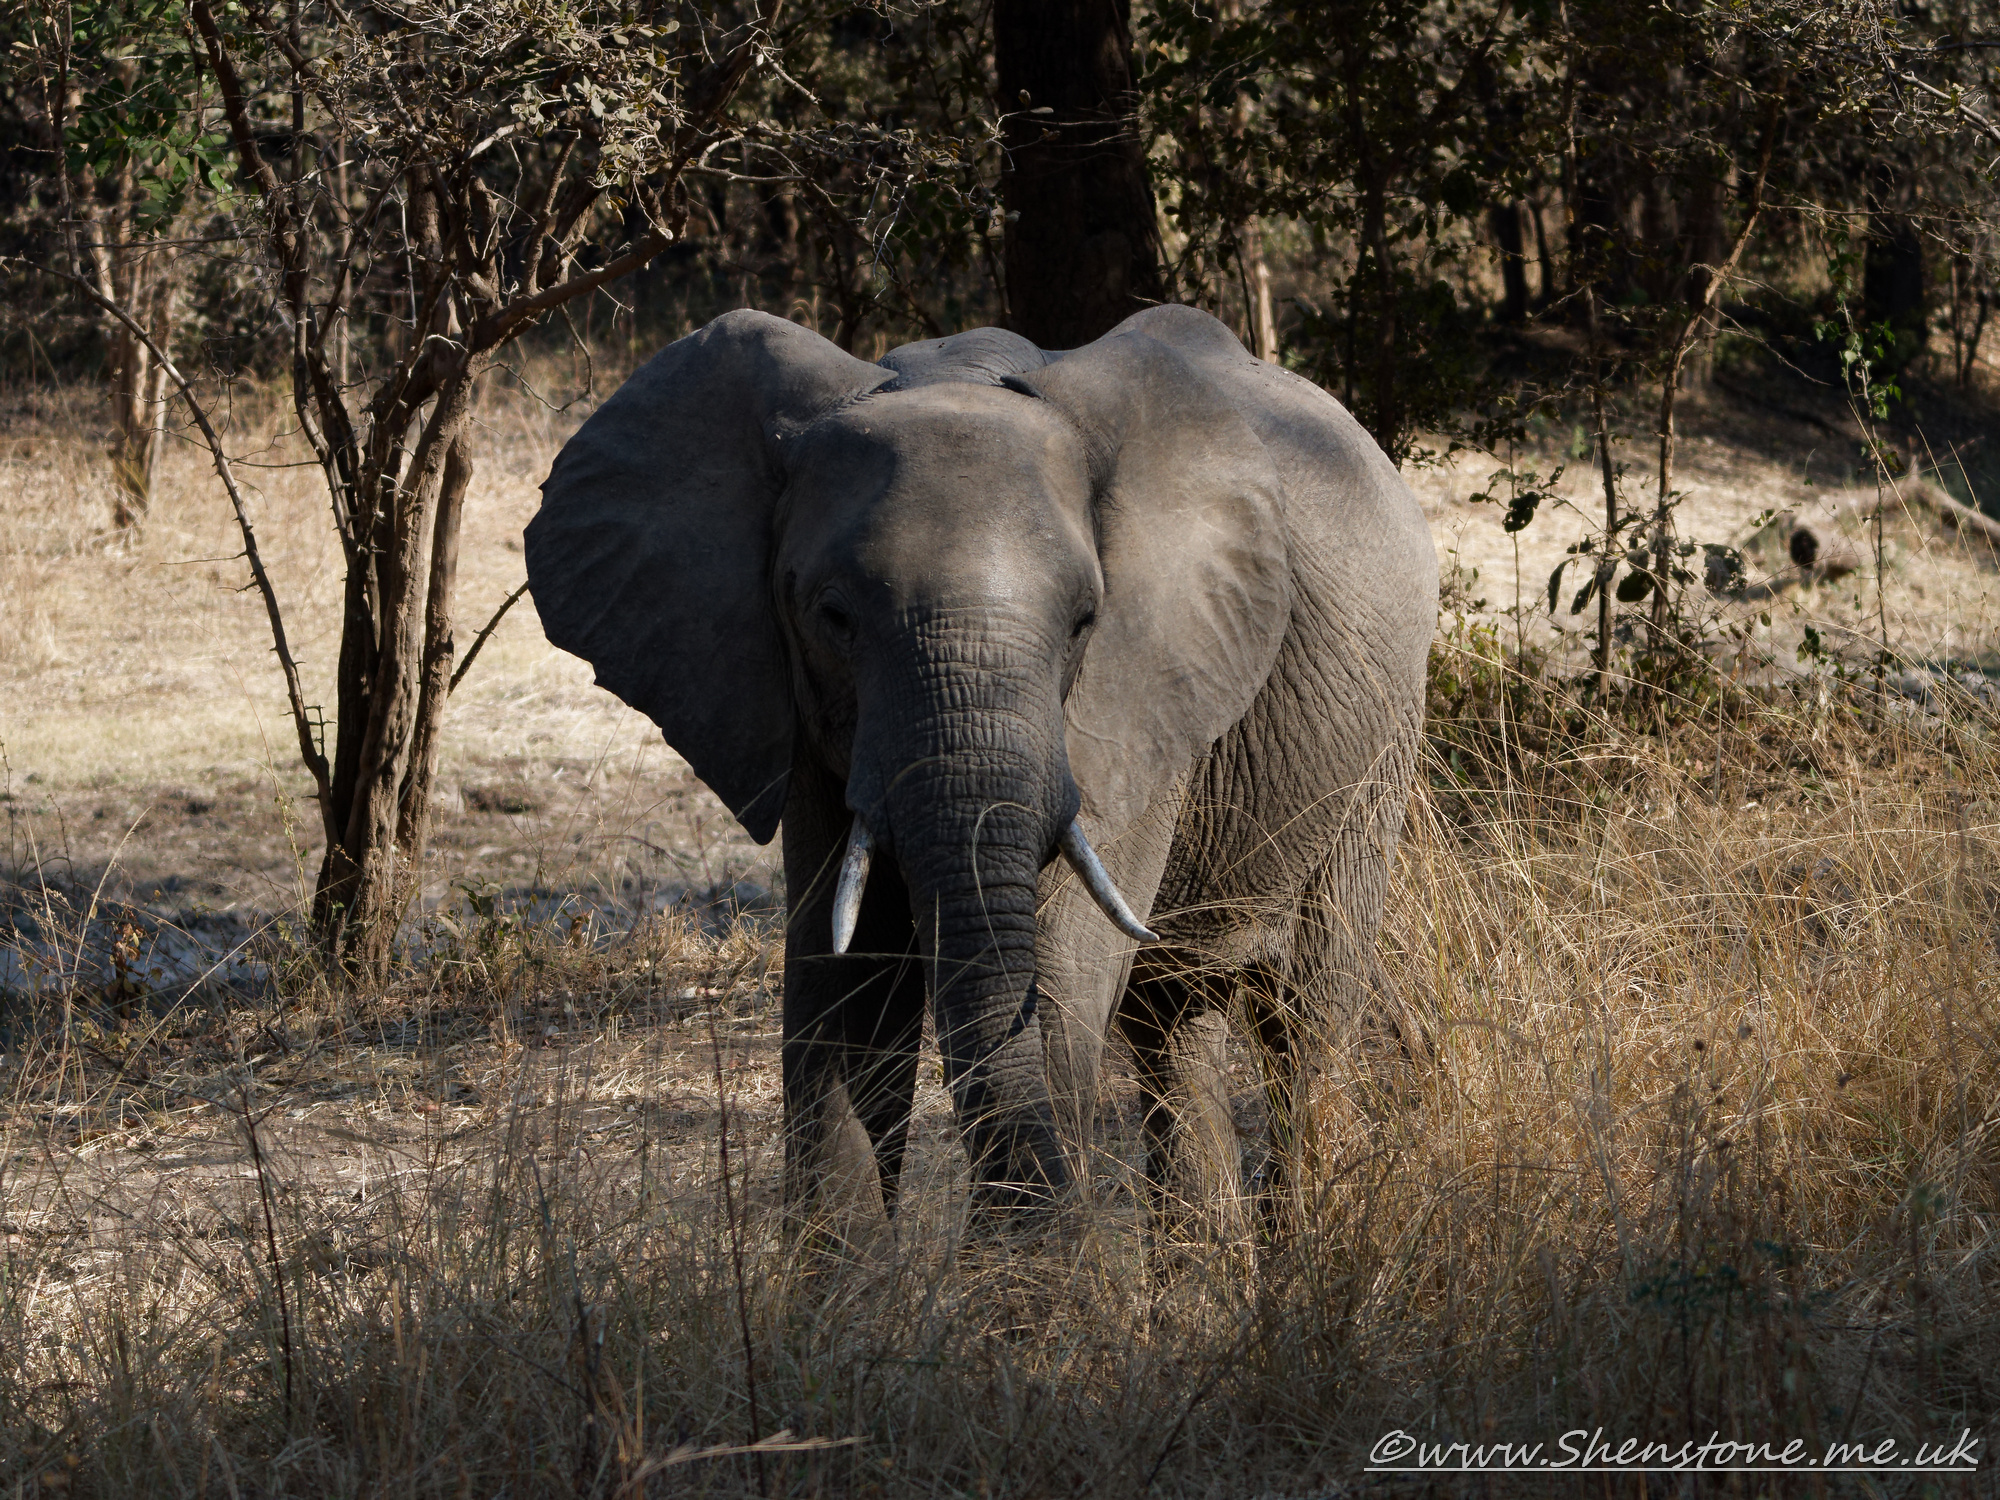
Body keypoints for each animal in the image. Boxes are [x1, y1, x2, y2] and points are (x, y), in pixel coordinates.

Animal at [524, 303, 1438, 1230]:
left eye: (1084, 620)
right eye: (832, 617)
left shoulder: (1136, 694)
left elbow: (1058, 969)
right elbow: (845, 991)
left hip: (1383, 736)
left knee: (1309, 1008)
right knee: (1174, 1023)